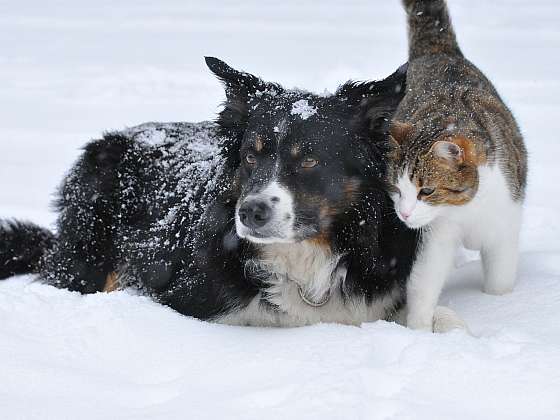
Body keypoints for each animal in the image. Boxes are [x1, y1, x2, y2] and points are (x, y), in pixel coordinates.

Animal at [0, 56, 464, 332]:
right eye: (251, 156)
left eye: (310, 161)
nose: (250, 212)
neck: (304, 260)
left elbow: (439, 317)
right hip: (88, 251)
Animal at [388, 0, 528, 332]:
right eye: (396, 189)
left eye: (426, 190)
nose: (404, 214)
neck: (468, 208)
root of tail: (438, 51)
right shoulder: (437, 234)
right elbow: (424, 281)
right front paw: (419, 330)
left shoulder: (505, 223)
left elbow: (500, 280)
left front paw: (501, 305)